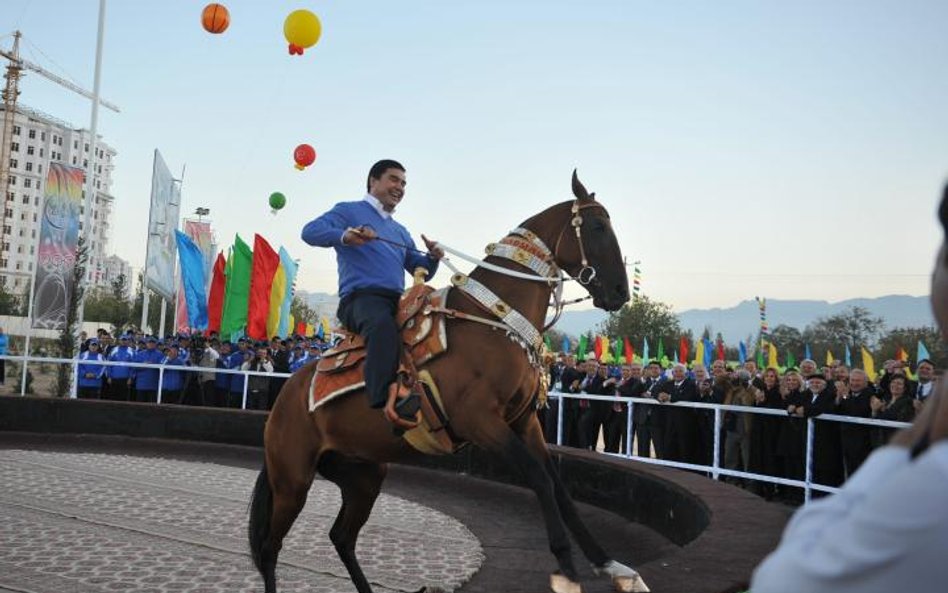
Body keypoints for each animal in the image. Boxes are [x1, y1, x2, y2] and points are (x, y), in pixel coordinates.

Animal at [248, 171, 648, 592]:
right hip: (292, 479)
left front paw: (610, 565)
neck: (493, 320)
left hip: (363, 473)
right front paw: (566, 569)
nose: (620, 291)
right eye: (598, 226)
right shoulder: (480, 421)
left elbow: (558, 486)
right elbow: (538, 477)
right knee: (270, 546)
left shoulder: (524, 421)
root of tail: (287, 395)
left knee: (341, 537)